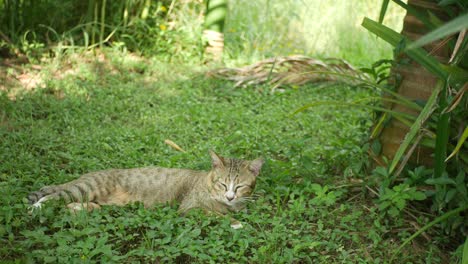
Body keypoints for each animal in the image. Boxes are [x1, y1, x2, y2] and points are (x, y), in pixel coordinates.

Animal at [28, 152, 264, 228]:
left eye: (240, 186)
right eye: (223, 184)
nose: (230, 196)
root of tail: (85, 175)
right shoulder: (190, 208)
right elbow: (214, 214)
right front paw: (235, 223)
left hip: (95, 202)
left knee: (75, 205)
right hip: (87, 188)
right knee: (54, 196)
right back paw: (36, 207)